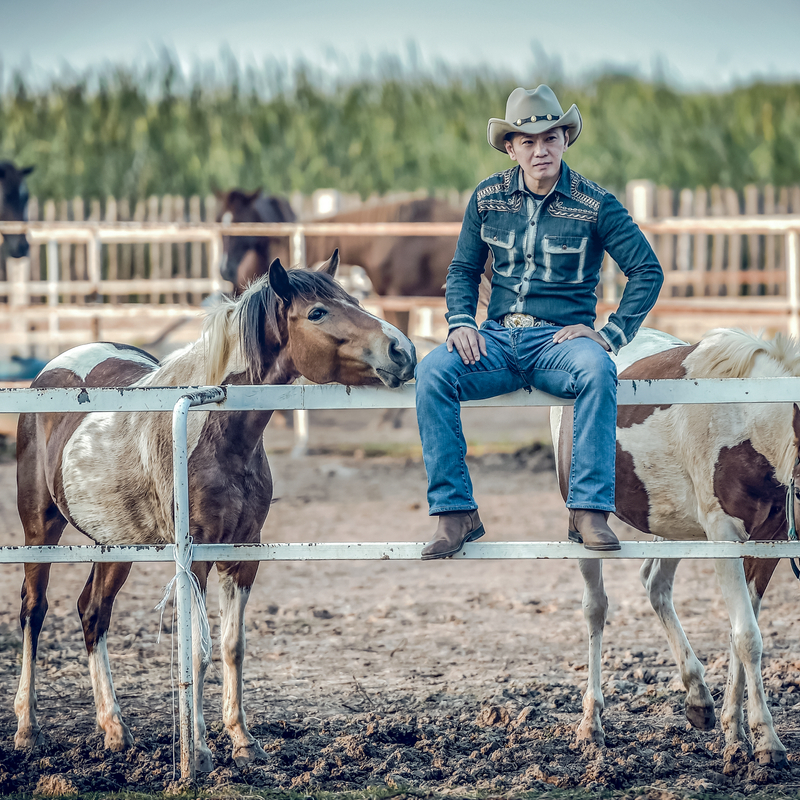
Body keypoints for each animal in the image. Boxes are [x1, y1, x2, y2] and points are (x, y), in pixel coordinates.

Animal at [552, 328, 796, 772]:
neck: (744, 419)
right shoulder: (722, 534)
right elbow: (748, 636)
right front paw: (768, 741)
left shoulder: (769, 540)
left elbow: (740, 632)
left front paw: (736, 735)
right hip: (583, 526)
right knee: (596, 608)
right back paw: (591, 723)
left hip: (674, 526)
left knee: (655, 585)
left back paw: (698, 698)